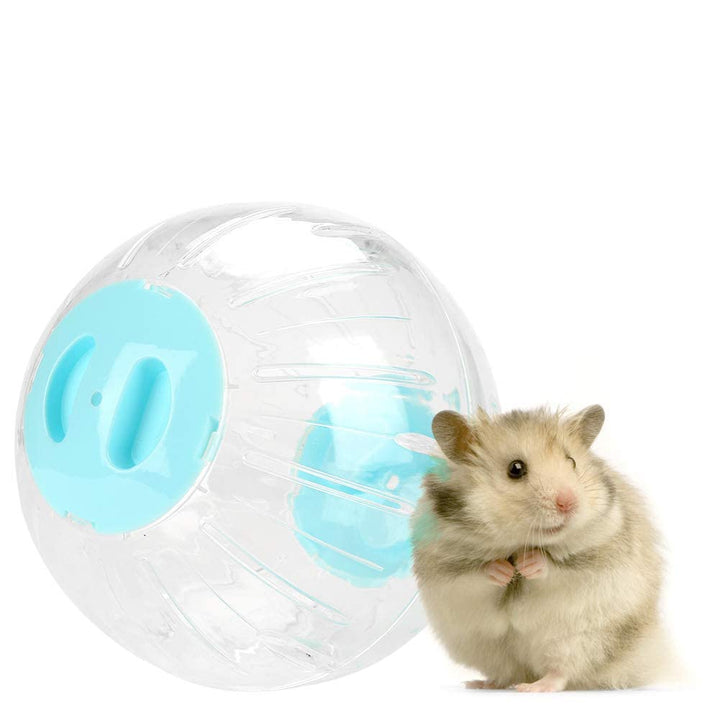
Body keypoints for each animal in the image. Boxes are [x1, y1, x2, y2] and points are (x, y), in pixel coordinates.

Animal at [411, 405, 676, 691]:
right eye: (516, 469)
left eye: (571, 462)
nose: (568, 503)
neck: (517, 542)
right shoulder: (444, 567)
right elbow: (476, 573)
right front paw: (504, 570)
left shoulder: (597, 554)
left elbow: (555, 567)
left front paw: (527, 564)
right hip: (485, 648)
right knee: (507, 673)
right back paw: (480, 683)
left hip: (581, 640)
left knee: (562, 672)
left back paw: (533, 687)